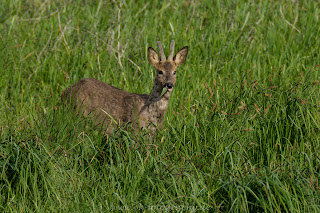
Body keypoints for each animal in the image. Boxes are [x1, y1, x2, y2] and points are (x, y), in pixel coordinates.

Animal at [60, 40, 188, 133]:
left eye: (175, 71)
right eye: (160, 71)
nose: (169, 84)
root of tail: (65, 92)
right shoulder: (136, 129)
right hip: (76, 112)